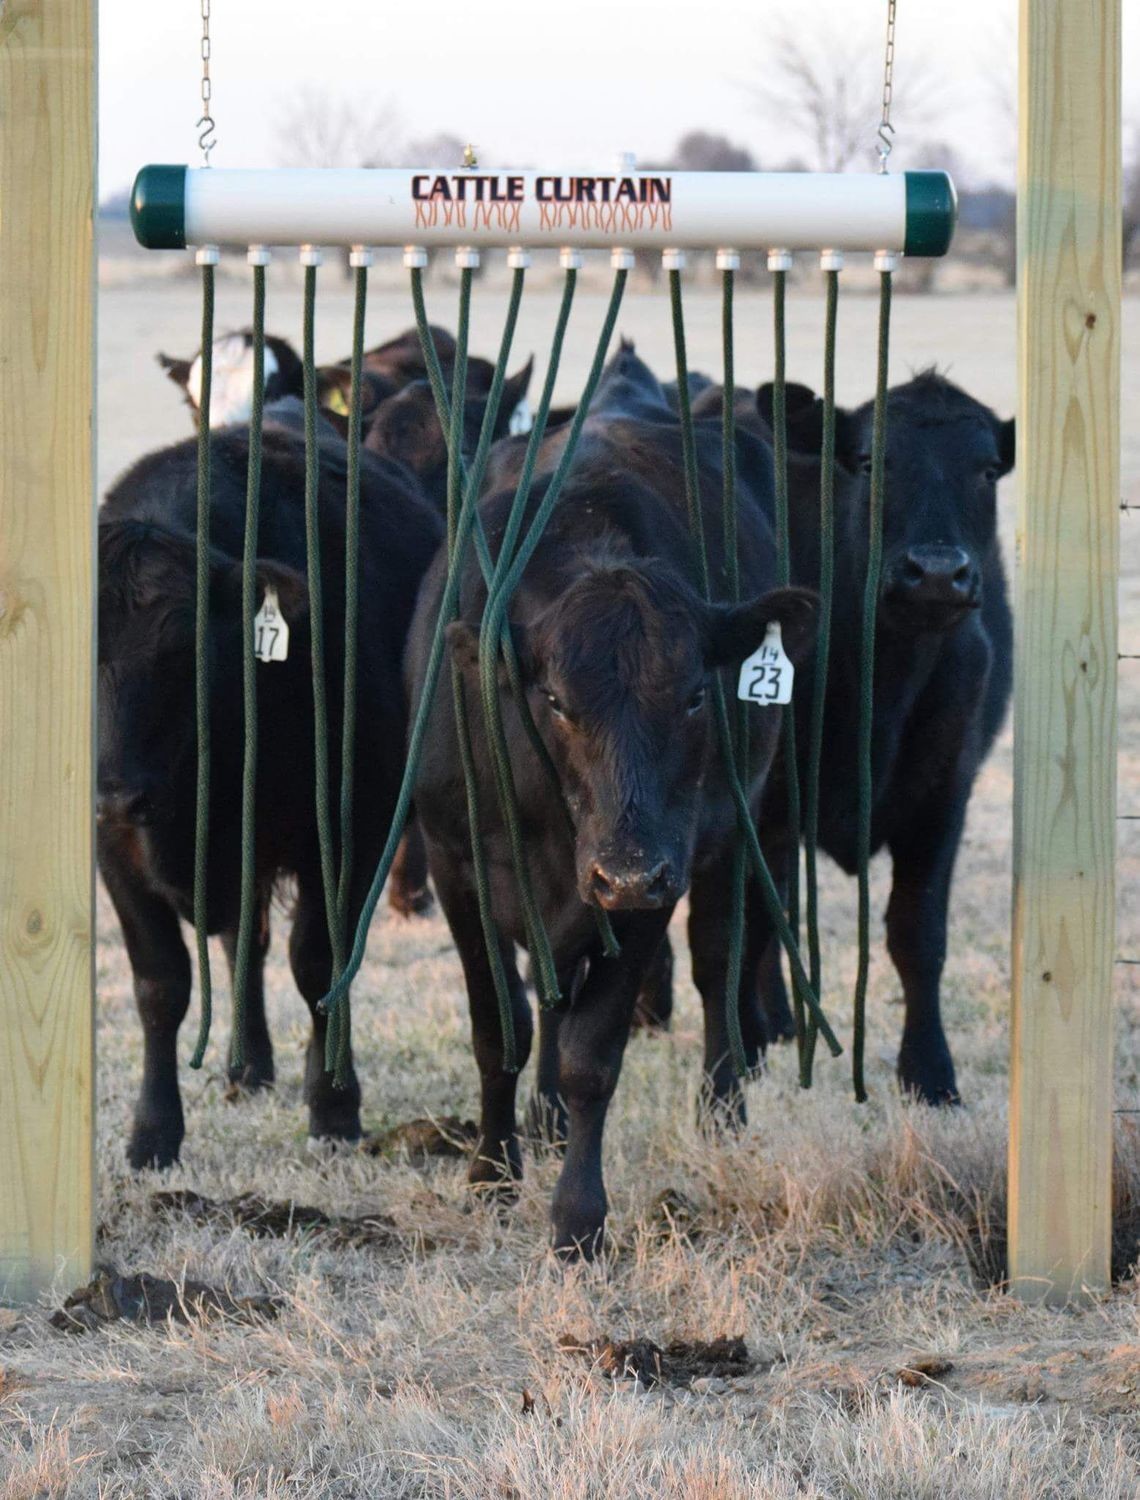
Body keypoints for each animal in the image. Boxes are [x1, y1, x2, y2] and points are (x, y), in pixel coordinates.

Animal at [98, 411, 443, 1169]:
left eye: (184, 650)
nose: (115, 795)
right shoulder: (115, 853)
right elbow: (160, 985)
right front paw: (153, 1134)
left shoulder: (347, 833)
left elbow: (318, 964)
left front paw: (335, 1108)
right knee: (240, 944)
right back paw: (246, 1064)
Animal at [406, 344, 817, 1255]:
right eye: (556, 700)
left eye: (697, 695)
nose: (624, 871)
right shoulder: (457, 862)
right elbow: (500, 1027)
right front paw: (492, 1171)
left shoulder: (653, 879)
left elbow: (593, 1055)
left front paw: (578, 1220)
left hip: (728, 842)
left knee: (717, 966)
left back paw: (721, 1114)